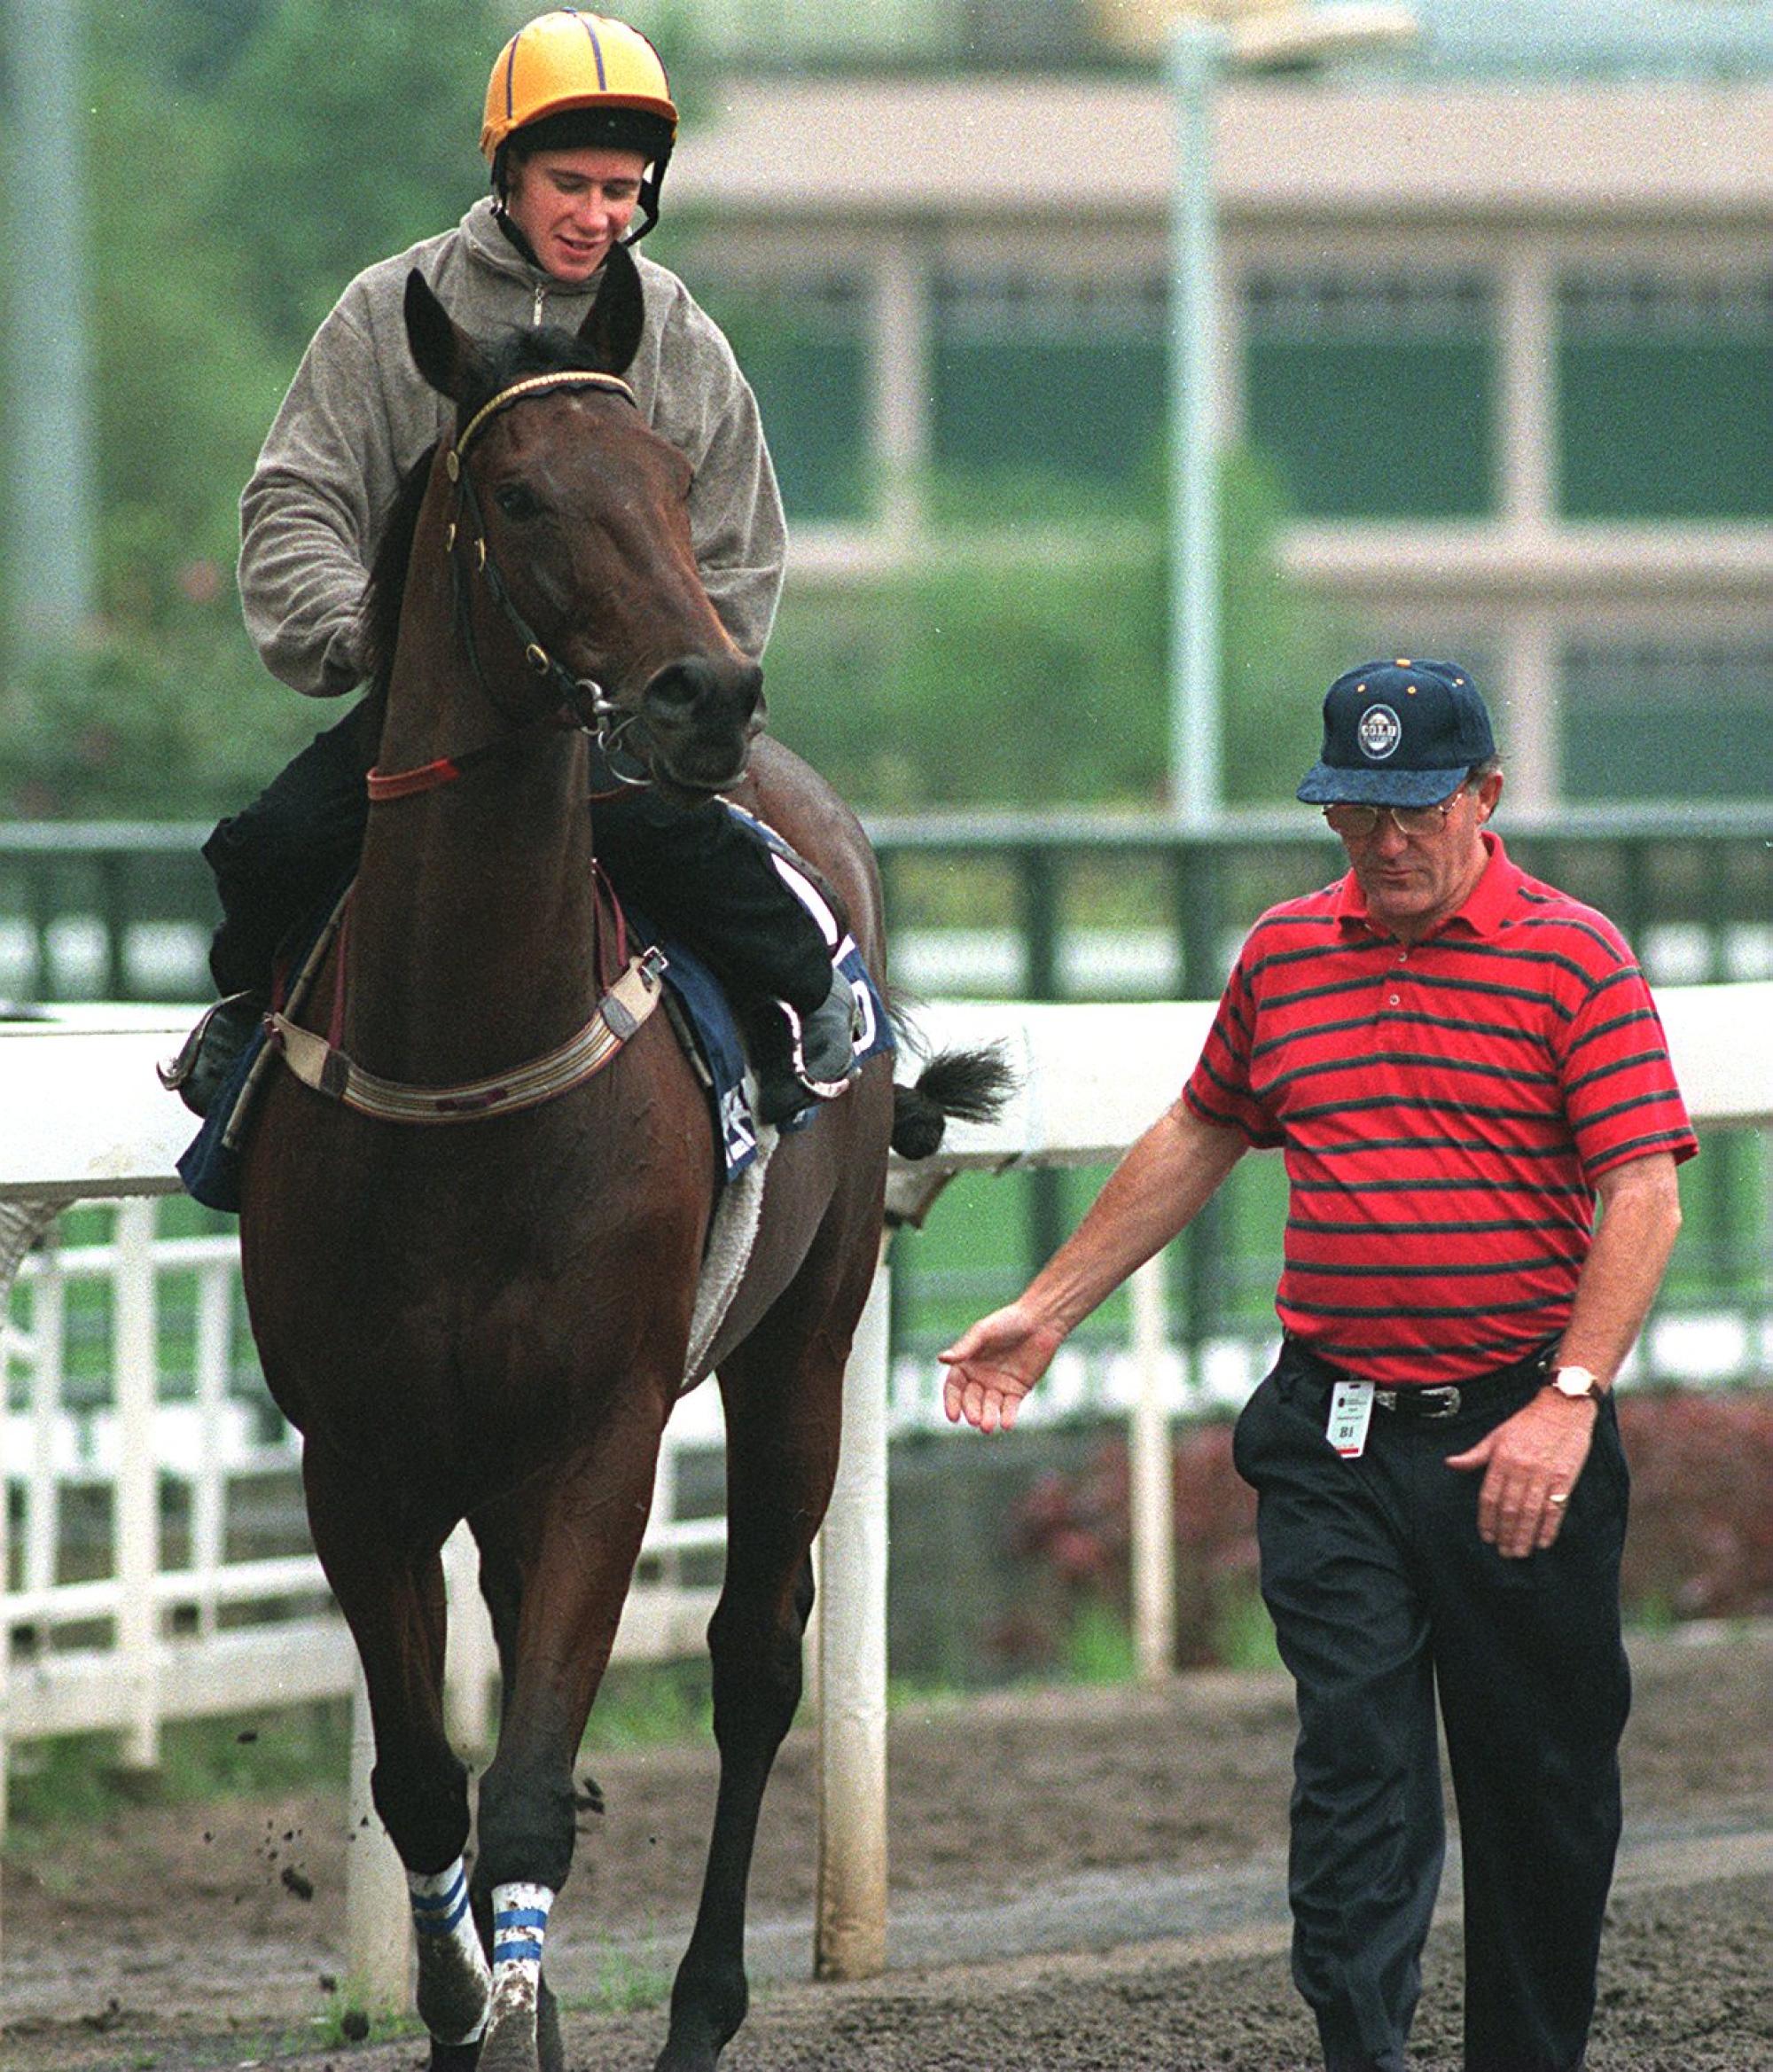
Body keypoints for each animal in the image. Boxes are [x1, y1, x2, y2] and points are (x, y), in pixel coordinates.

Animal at [235, 246, 998, 2072]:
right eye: (517, 492)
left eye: (667, 475)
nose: (705, 694)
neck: (463, 1073)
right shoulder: (356, 1453)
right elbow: (426, 1778)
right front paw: (463, 2002)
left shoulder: (602, 1430)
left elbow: (527, 1787)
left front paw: (522, 2011)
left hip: (802, 1341)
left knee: (753, 1661)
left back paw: (705, 2003)